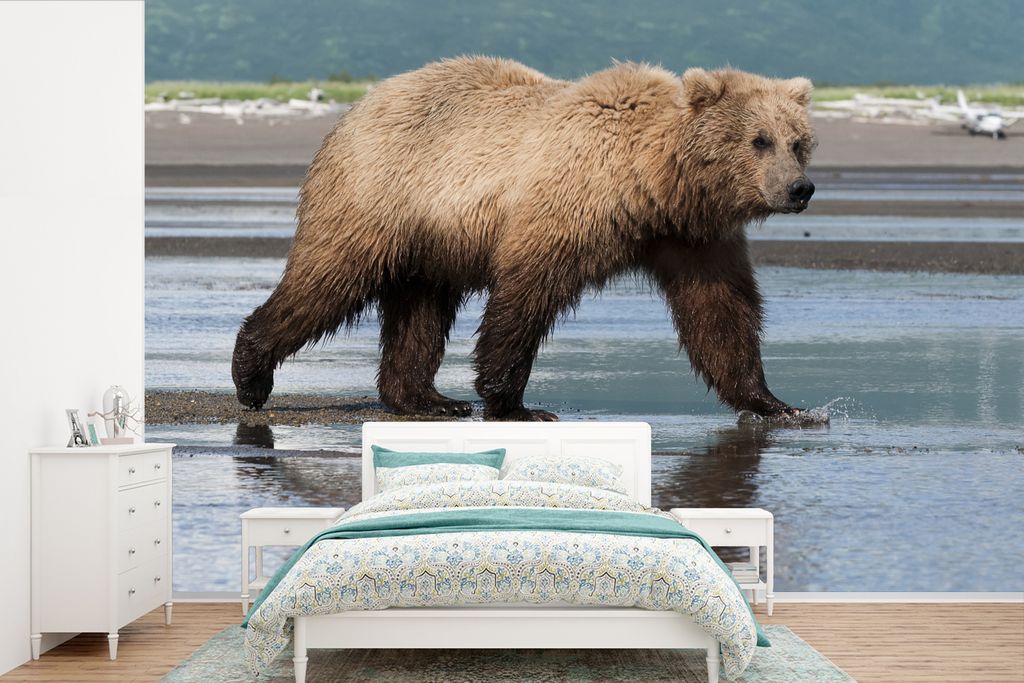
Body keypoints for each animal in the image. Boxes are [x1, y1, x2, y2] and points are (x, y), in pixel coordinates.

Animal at [232, 57, 817, 421]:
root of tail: (353, 111)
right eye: (758, 139)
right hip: (379, 197)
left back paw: (427, 399)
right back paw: (251, 374)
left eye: (798, 142)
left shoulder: (693, 236)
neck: (651, 182)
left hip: (430, 240)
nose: (800, 188)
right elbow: (527, 293)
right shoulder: (570, 202)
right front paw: (514, 403)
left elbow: (720, 311)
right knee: (328, 280)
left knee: (420, 312)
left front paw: (780, 404)